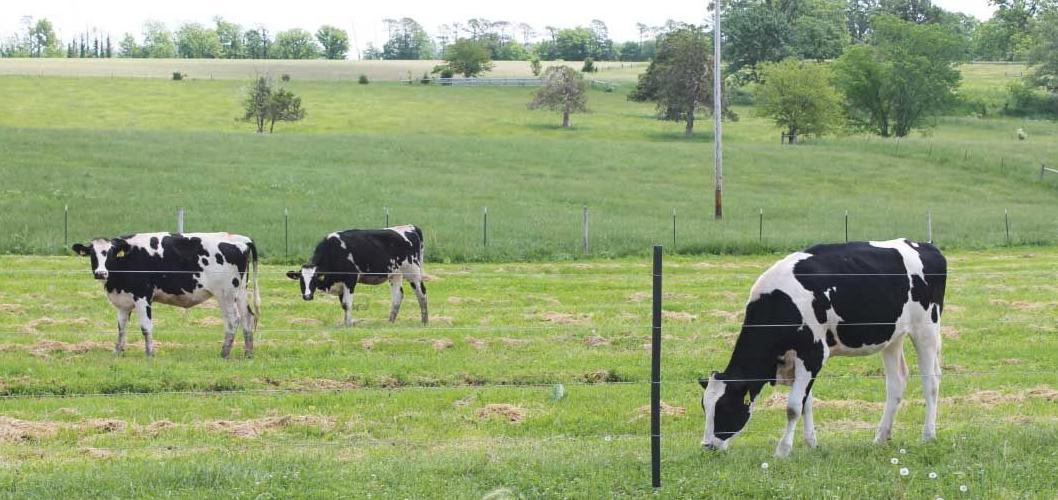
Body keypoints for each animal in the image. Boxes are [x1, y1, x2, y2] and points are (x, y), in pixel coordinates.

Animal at [72, 232, 260, 358]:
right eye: (92, 254)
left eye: (110, 253)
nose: (100, 273)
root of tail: (242, 239)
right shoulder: (123, 302)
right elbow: (121, 328)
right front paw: (117, 352)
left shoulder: (143, 296)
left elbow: (146, 327)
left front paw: (149, 354)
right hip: (240, 292)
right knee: (247, 317)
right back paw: (248, 353)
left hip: (226, 294)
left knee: (233, 320)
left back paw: (224, 353)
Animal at [286, 225, 428, 326]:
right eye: (301, 280)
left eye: (314, 279)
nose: (307, 296)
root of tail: (410, 227)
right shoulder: (341, 284)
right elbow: (343, 304)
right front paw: (345, 323)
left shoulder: (350, 279)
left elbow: (347, 304)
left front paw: (349, 324)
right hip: (395, 274)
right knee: (398, 296)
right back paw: (390, 322)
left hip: (413, 271)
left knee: (421, 293)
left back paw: (425, 321)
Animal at [699, 239, 946, 457]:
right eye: (705, 407)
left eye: (724, 408)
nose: (708, 446)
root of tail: (927, 246)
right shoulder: (798, 362)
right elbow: (806, 403)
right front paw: (811, 444)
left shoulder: (813, 354)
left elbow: (793, 407)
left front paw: (782, 451)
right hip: (892, 336)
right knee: (896, 382)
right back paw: (881, 437)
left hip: (926, 328)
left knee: (931, 381)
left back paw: (928, 436)